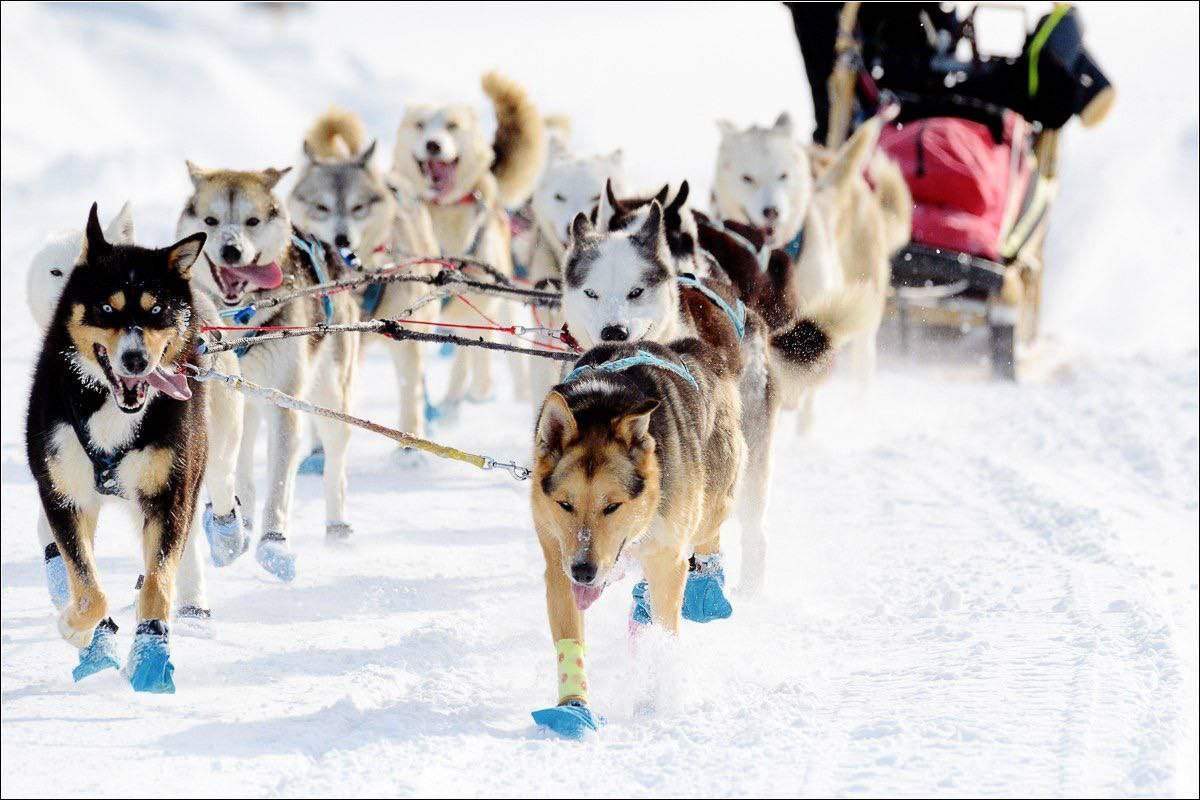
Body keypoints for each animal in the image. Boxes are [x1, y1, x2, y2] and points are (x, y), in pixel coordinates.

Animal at [24, 205, 207, 695]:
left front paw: (150, 658)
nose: (136, 360)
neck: (108, 402)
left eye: (158, 309)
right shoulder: (65, 497)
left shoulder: (169, 497)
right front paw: (76, 628)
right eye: (106, 307)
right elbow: (89, 588)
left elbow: (158, 584)